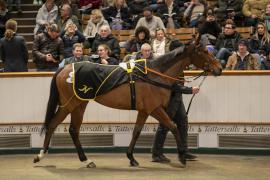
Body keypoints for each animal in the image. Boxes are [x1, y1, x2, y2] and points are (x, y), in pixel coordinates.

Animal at [32, 40, 221, 167]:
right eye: (204, 51)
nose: (219, 68)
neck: (155, 74)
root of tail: (63, 69)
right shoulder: (155, 109)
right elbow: (173, 126)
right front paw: (181, 156)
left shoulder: (144, 111)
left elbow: (136, 132)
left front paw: (131, 157)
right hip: (70, 104)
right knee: (54, 124)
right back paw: (42, 155)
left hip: (80, 105)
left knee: (72, 129)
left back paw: (83, 160)